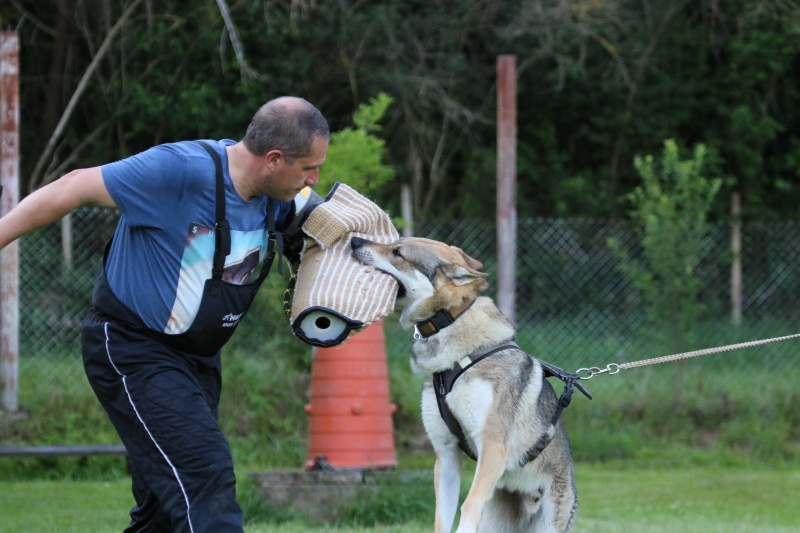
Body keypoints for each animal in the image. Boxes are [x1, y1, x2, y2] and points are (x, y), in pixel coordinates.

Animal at [350, 237, 576, 532]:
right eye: (393, 244)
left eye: (398, 252)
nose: (354, 240)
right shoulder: (445, 452)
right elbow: (441, 517)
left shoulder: (492, 446)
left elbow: (468, 504)